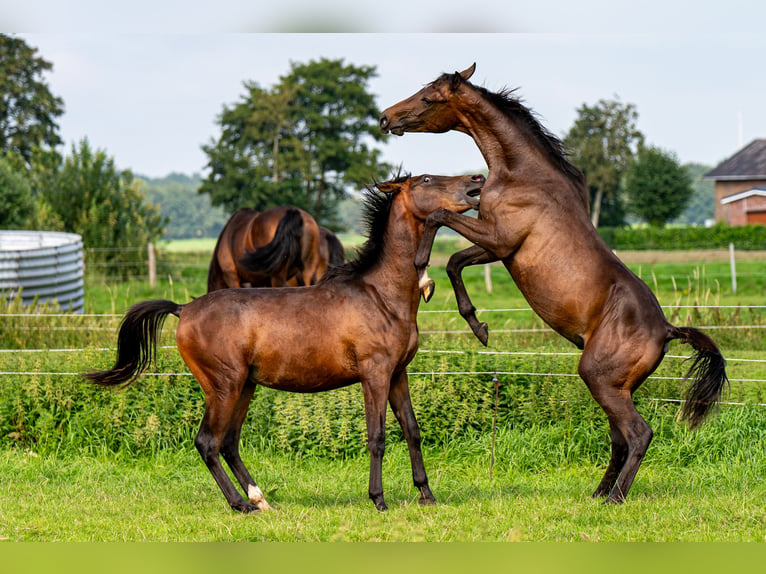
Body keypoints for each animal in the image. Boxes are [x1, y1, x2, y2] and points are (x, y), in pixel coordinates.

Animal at [82, 173, 480, 516]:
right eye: (426, 179)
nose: (476, 182)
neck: (380, 293)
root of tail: (183, 309)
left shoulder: (398, 374)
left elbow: (412, 430)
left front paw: (427, 495)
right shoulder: (375, 374)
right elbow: (377, 436)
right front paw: (378, 500)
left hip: (245, 386)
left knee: (228, 442)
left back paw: (260, 500)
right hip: (223, 387)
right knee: (208, 442)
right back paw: (240, 505)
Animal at [380, 62, 728, 504]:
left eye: (428, 98)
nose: (385, 118)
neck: (521, 173)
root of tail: (668, 329)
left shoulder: (500, 237)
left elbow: (439, 221)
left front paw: (422, 269)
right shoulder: (500, 248)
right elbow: (457, 261)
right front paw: (479, 326)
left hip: (599, 379)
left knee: (639, 433)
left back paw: (615, 498)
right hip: (616, 388)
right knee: (620, 438)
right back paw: (598, 493)